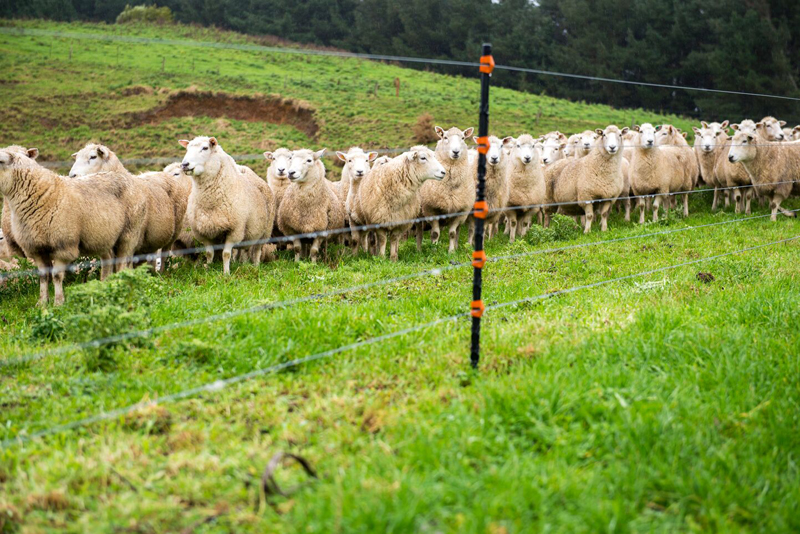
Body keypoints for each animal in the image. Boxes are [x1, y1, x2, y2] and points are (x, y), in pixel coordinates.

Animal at [0, 148, 147, 305]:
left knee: (123, 263)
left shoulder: (63, 246)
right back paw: (106, 285)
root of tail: (128, 177)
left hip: (129, 234)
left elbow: (56, 275)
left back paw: (120, 285)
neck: (41, 194)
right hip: (105, 237)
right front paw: (42, 303)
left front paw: (58, 302)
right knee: (109, 260)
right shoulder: (36, 248)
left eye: (1, 161)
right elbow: (43, 276)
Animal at [180, 136, 274, 274]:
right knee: (243, 250)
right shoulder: (202, 232)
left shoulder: (234, 230)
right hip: (247, 233)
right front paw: (208, 269)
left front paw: (226, 273)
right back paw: (242, 264)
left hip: (265, 231)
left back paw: (256, 266)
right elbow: (209, 253)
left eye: (205, 148)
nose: (184, 165)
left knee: (257, 250)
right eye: (187, 149)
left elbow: (226, 254)